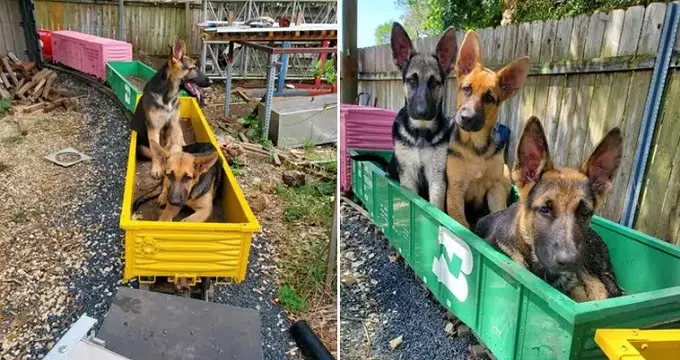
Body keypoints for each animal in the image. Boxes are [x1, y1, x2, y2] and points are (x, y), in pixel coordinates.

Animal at [131, 36, 197, 180]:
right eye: (193, 68)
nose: (211, 81)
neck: (167, 97)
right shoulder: (153, 128)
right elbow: (157, 152)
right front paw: (157, 169)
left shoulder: (173, 123)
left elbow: (175, 146)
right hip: (141, 147)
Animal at [354, 23, 460, 210]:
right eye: (412, 81)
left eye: (435, 82)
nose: (421, 112)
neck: (421, 132)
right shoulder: (408, 174)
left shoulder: (437, 174)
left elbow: (436, 205)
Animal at [446, 31, 532, 228]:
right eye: (467, 89)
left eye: (489, 98)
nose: (467, 118)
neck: (475, 146)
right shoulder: (455, 189)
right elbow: (462, 223)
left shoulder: (495, 188)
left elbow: (498, 212)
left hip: (505, 177)